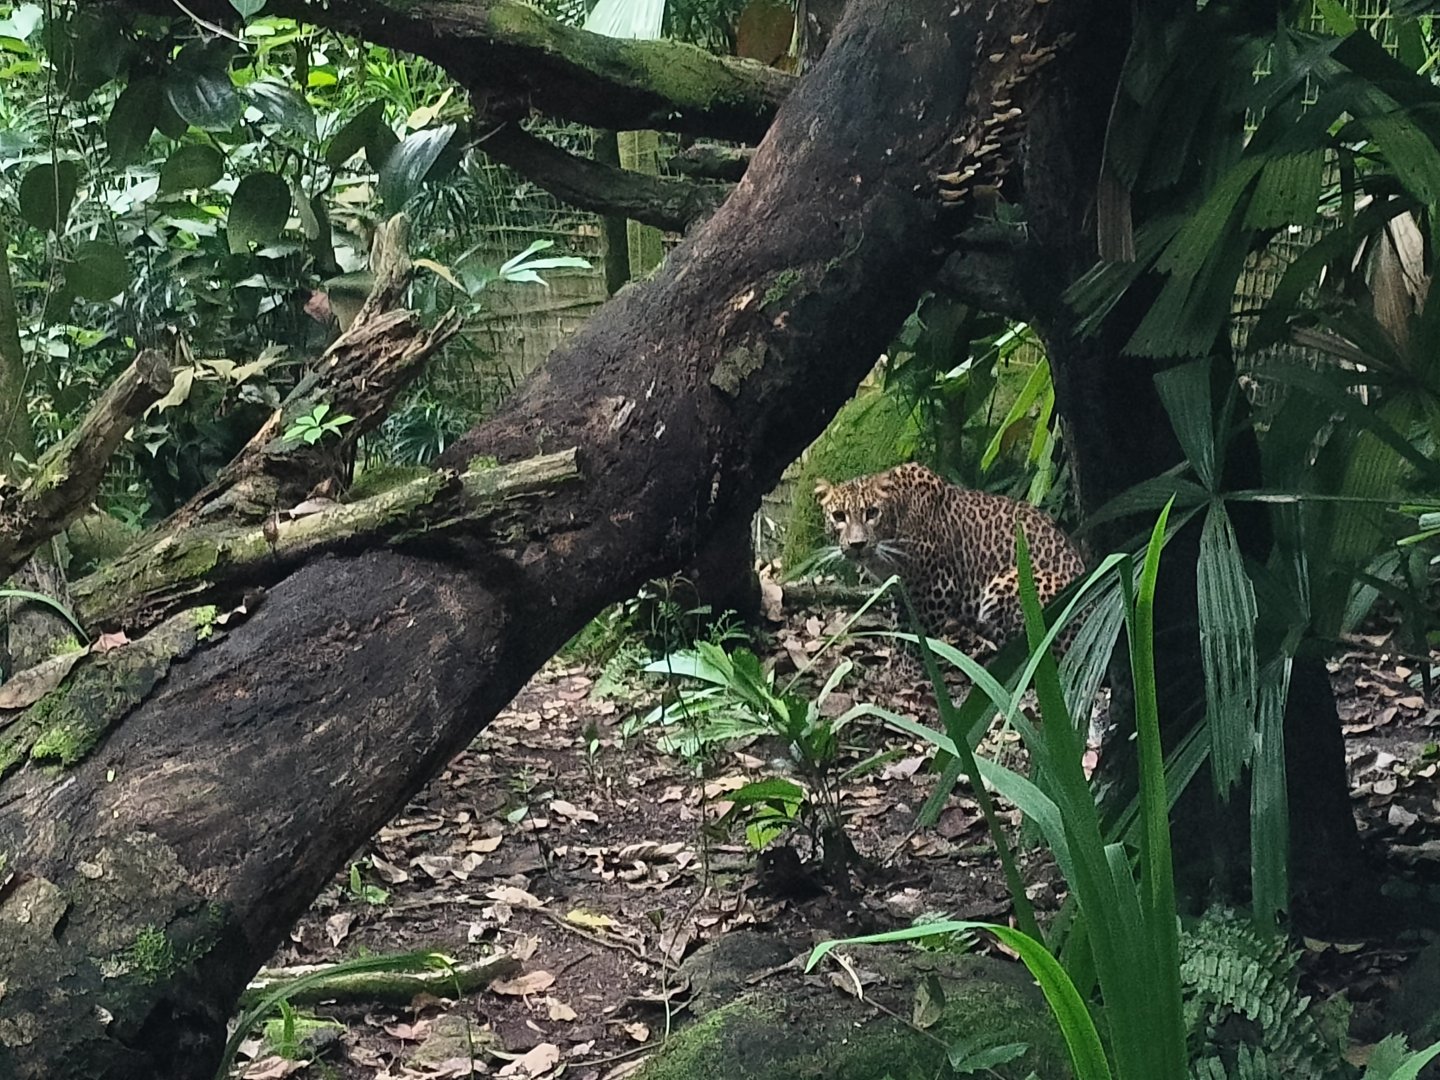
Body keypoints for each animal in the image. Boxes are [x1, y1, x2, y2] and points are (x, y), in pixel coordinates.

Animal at [814, 462, 1085, 653]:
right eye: (839, 516)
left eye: (871, 513)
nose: (857, 544)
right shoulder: (901, 589)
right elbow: (902, 628)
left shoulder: (937, 585)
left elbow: (919, 638)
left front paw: (911, 672)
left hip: (1014, 582)